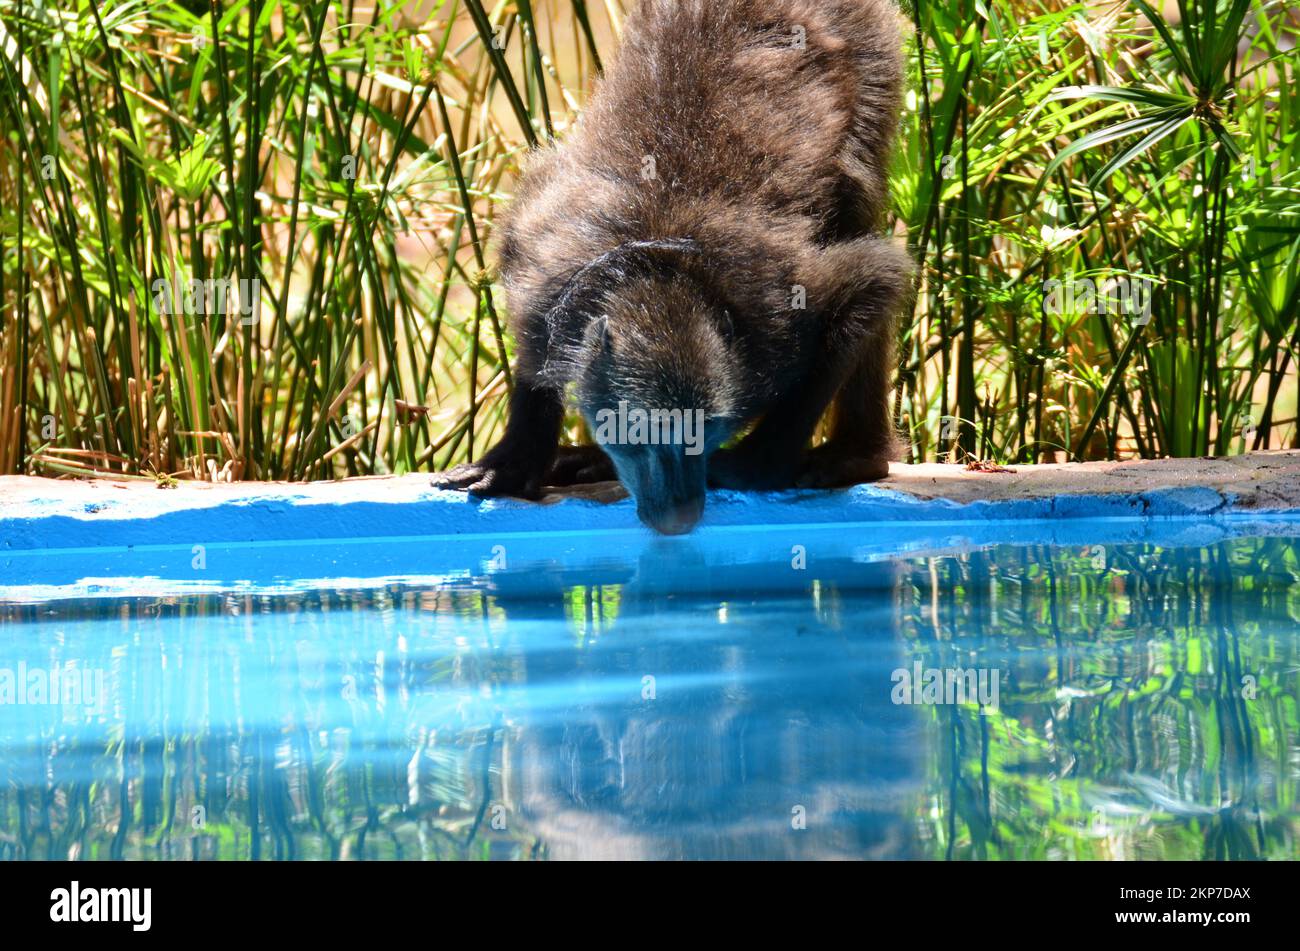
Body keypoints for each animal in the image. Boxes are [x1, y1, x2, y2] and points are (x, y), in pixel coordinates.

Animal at [432, 0, 913, 535]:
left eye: (702, 433)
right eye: (643, 436)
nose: (679, 516)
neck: (654, 267)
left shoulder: (778, 305)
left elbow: (877, 277)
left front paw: (753, 465)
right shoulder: (540, 264)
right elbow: (536, 349)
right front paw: (517, 459)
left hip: (872, 54)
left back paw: (858, 456)